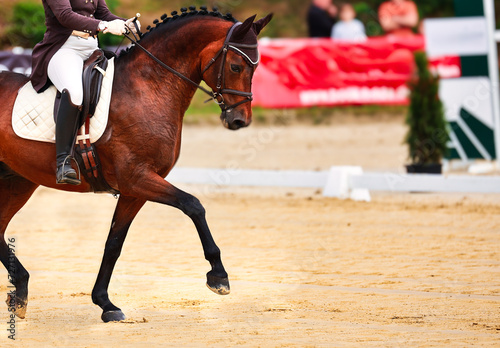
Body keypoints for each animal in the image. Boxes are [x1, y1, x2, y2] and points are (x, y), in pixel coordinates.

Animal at [0, 8, 272, 322]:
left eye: (256, 68)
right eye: (237, 67)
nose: (240, 120)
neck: (149, 87)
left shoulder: (134, 190)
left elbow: (114, 243)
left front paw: (105, 303)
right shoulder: (137, 178)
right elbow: (193, 205)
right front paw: (218, 276)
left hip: (18, 181)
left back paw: (20, 292)